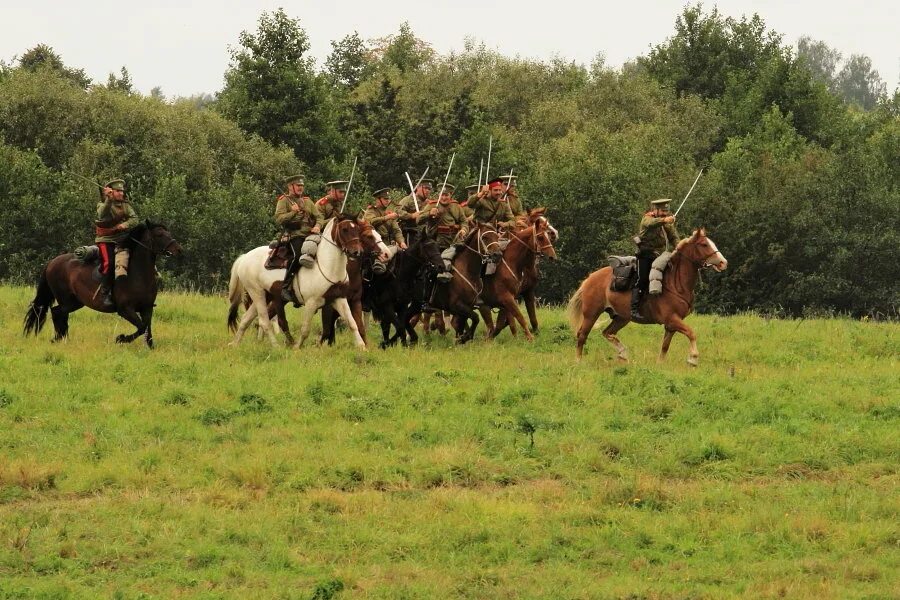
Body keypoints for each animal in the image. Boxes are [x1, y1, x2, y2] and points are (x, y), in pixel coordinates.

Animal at [22, 223, 181, 350]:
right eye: (159, 234)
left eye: (169, 233)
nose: (178, 249)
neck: (138, 274)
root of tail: (52, 262)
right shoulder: (125, 310)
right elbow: (141, 327)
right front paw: (121, 338)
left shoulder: (147, 308)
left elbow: (147, 328)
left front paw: (151, 347)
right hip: (67, 299)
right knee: (57, 312)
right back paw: (59, 338)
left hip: (75, 302)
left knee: (59, 313)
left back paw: (62, 338)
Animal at [229, 216, 370, 346]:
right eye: (344, 229)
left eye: (357, 229)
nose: (357, 252)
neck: (327, 266)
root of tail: (244, 257)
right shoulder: (311, 303)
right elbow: (305, 329)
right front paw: (297, 347)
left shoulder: (339, 299)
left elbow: (352, 323)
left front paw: (362, 347)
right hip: (257, 293)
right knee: (264, 321)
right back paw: (276, 346)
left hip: (266, 295)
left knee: (246, 319)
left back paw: (235, 344)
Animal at [568, 227, 728, 364]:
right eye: (704, 244)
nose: (723, 263)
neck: (675, 283)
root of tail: (590, 278)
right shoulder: (672, 319)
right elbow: (691, 333)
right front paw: (693, 358)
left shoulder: (671, 325)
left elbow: (665, 346)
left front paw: (660, 364)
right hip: (591, 314)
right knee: (582, 335)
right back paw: (578, 361)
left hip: (622, 317)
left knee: (607, 332)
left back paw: (623, 353)